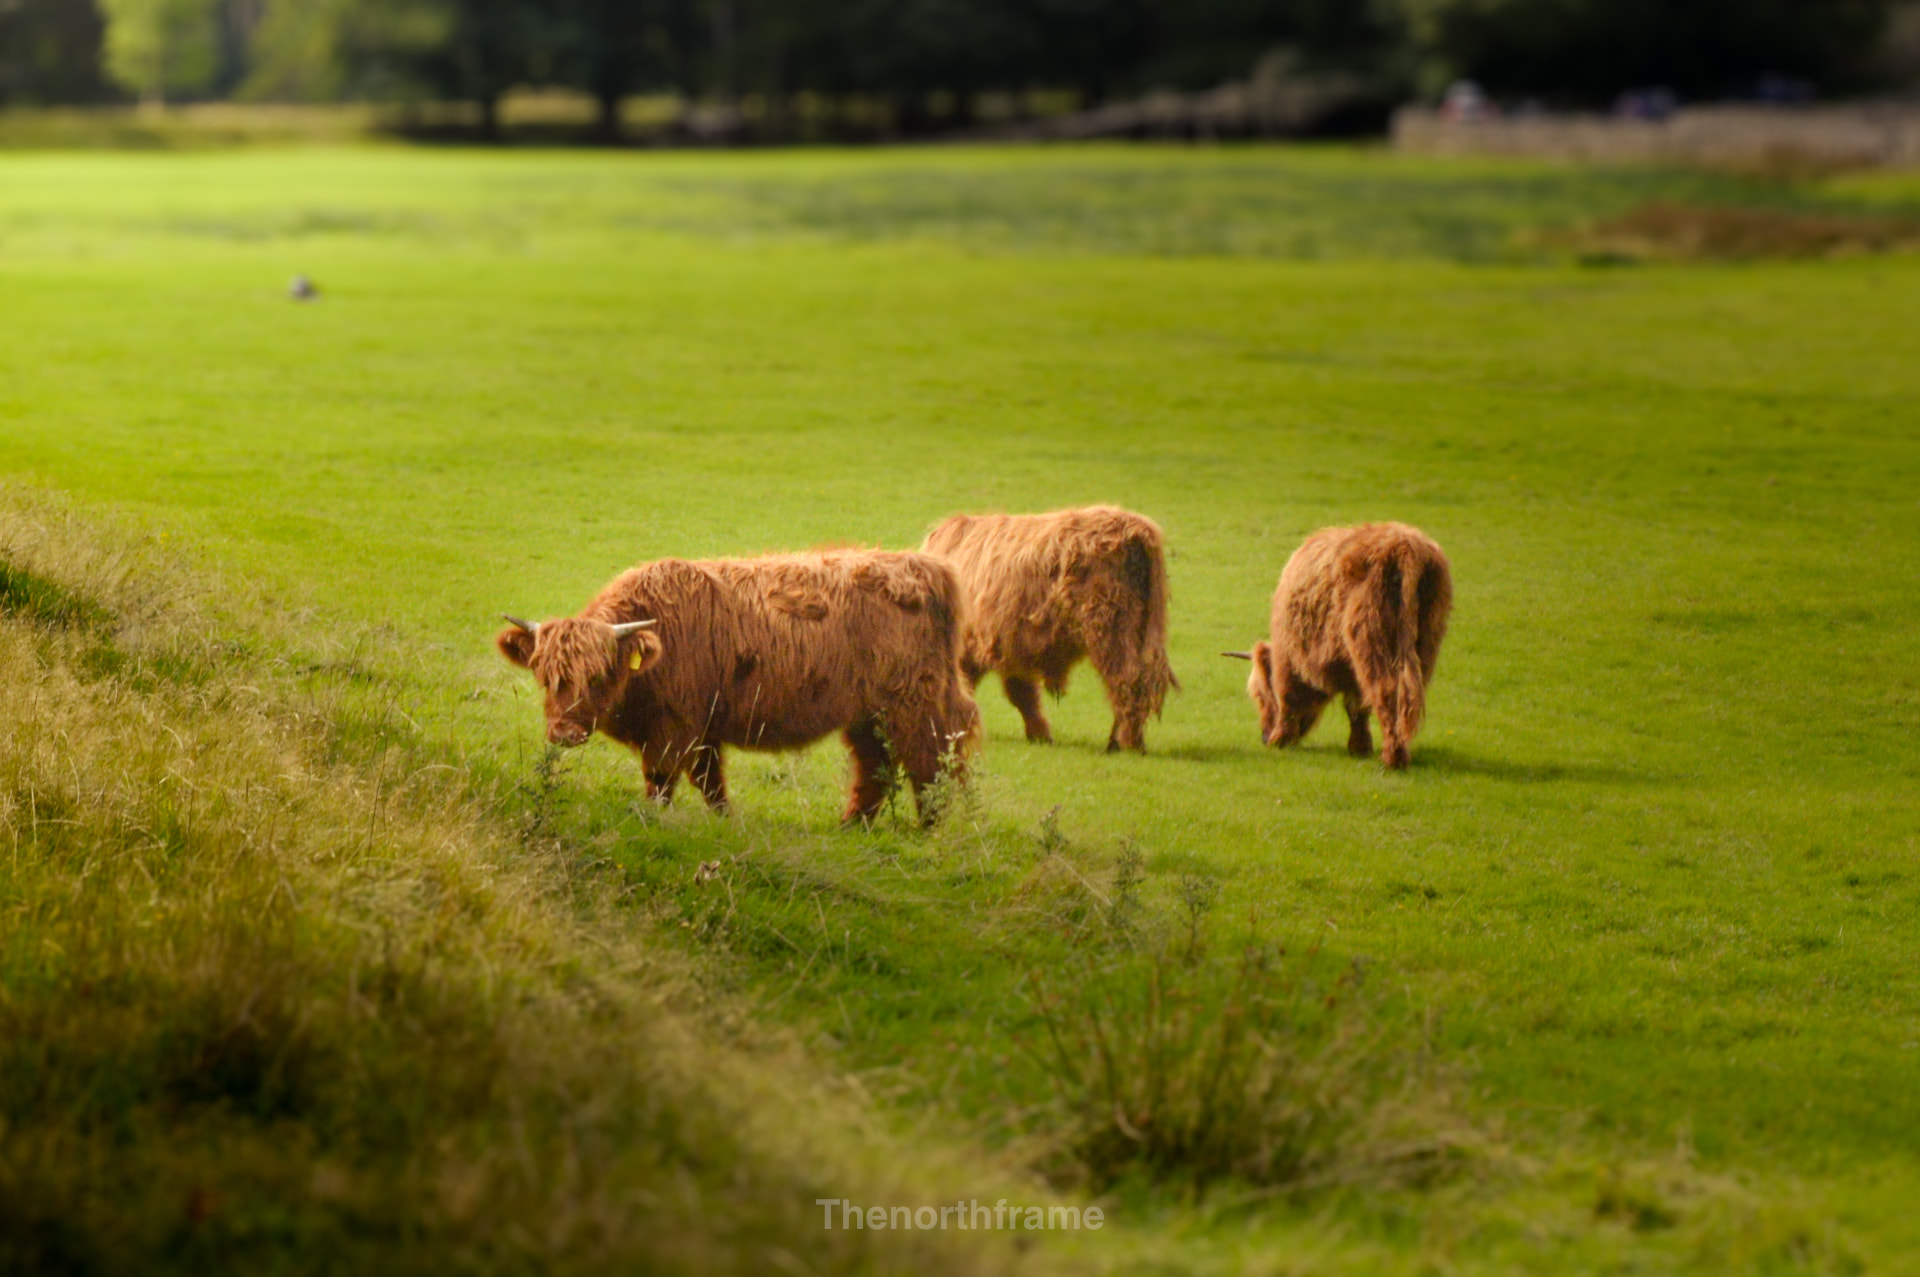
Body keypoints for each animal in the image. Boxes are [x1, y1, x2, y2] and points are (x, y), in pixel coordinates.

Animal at [496, 550, 980, 824]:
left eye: (598, 676)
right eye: (544, 675)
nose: (564, 733)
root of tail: (926, 567)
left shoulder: (675, 726)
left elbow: (663, 778)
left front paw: (654, 819)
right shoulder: (703, 727)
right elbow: (709, 780)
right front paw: (726, 820)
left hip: (913, 708)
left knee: (928, 767)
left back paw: (927, 836)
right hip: (865, 717)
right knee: (874, 770)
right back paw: (850, 830)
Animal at [921, 505, 1177, 752]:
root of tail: (1134, 529)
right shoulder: (1010, 648)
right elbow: (1022, 694)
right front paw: (1040, 734)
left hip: (1111, 628)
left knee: (1127, 681)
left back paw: (1127, 742)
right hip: (1143, 628)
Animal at [1226, 522, 1452, 770]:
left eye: (1261, 696)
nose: (1264, 737)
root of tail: (1405, 546)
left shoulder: (1289, 659)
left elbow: (1289, 698)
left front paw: (1281, 740)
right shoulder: (1350, 668)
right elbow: (1357, 706)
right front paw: (1360, 747)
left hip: (1373, 646)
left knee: (1388, 692)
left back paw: (1393, 758)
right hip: (1424, 645)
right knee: (1408, 697)